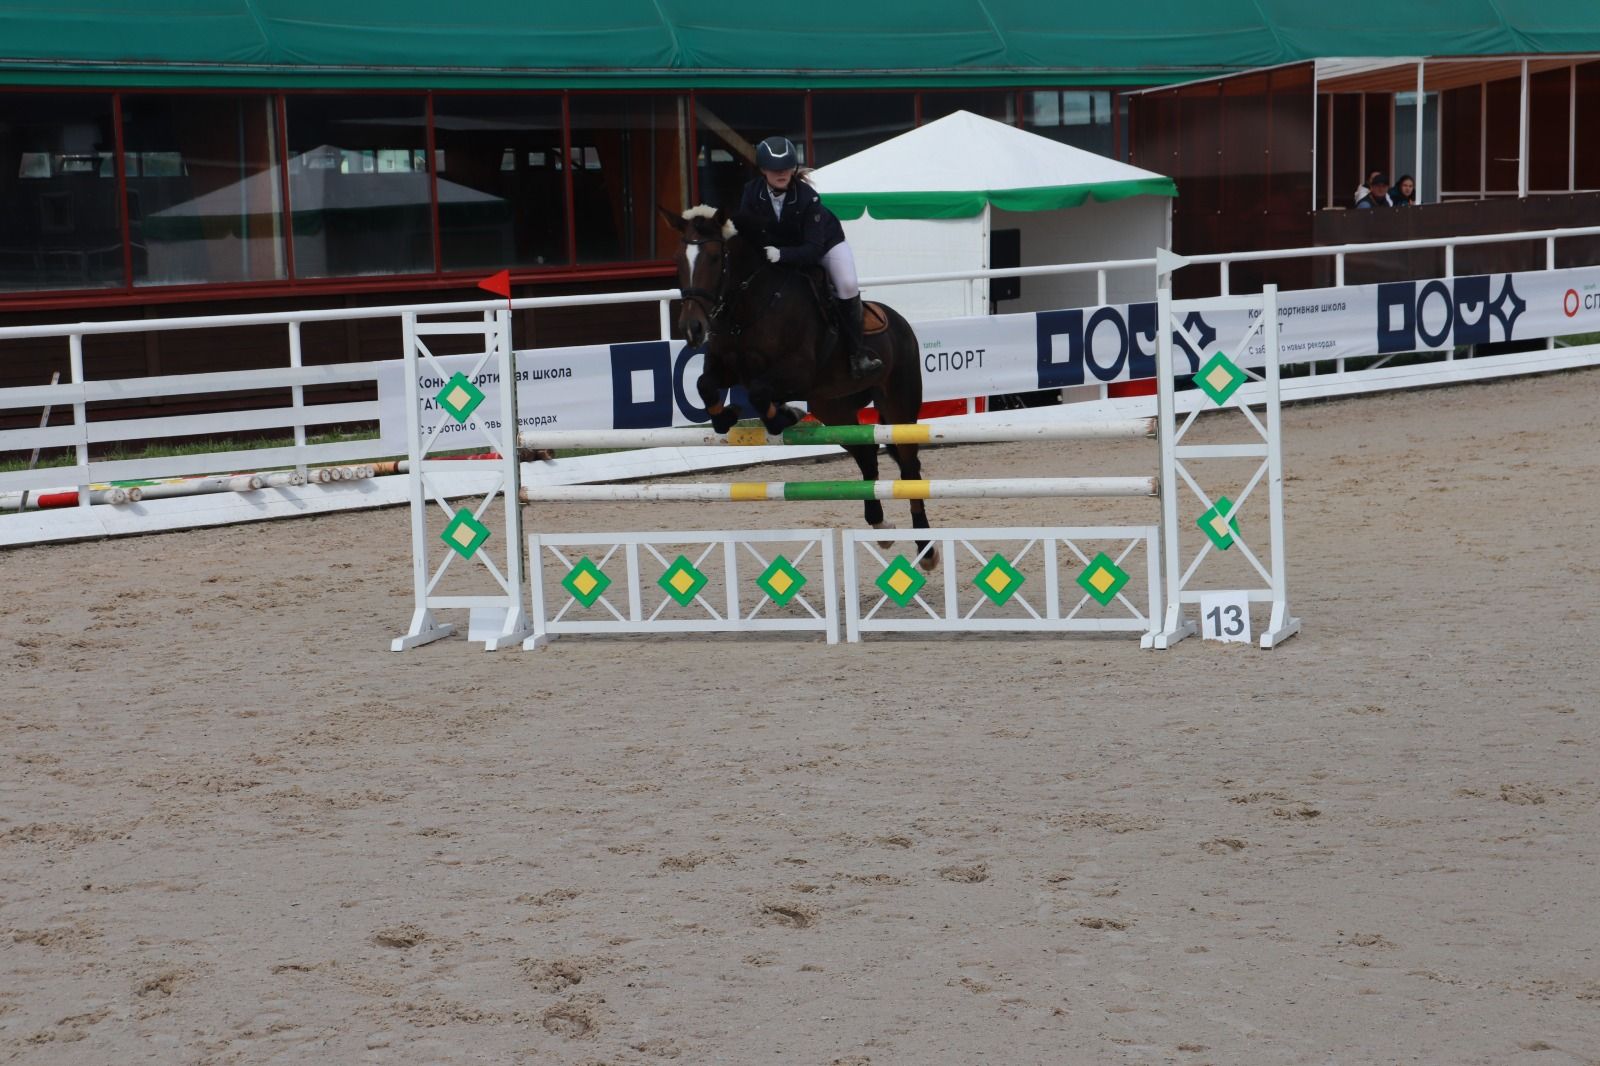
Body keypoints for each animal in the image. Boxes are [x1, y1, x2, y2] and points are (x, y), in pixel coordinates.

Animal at [659, 201, 934, 563]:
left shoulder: (797, 371)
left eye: (716, 258)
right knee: (866, 454)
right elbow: (706, 386)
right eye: (678, 258)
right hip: (833, 408)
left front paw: (783, 416)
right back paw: (880, 525)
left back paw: (926, 549)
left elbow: (760, 392)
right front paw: (730, 416)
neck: (749, 306)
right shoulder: (726, 368)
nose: (692, 329)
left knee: (909, 466)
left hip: (899, 401)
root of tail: (902, 323)